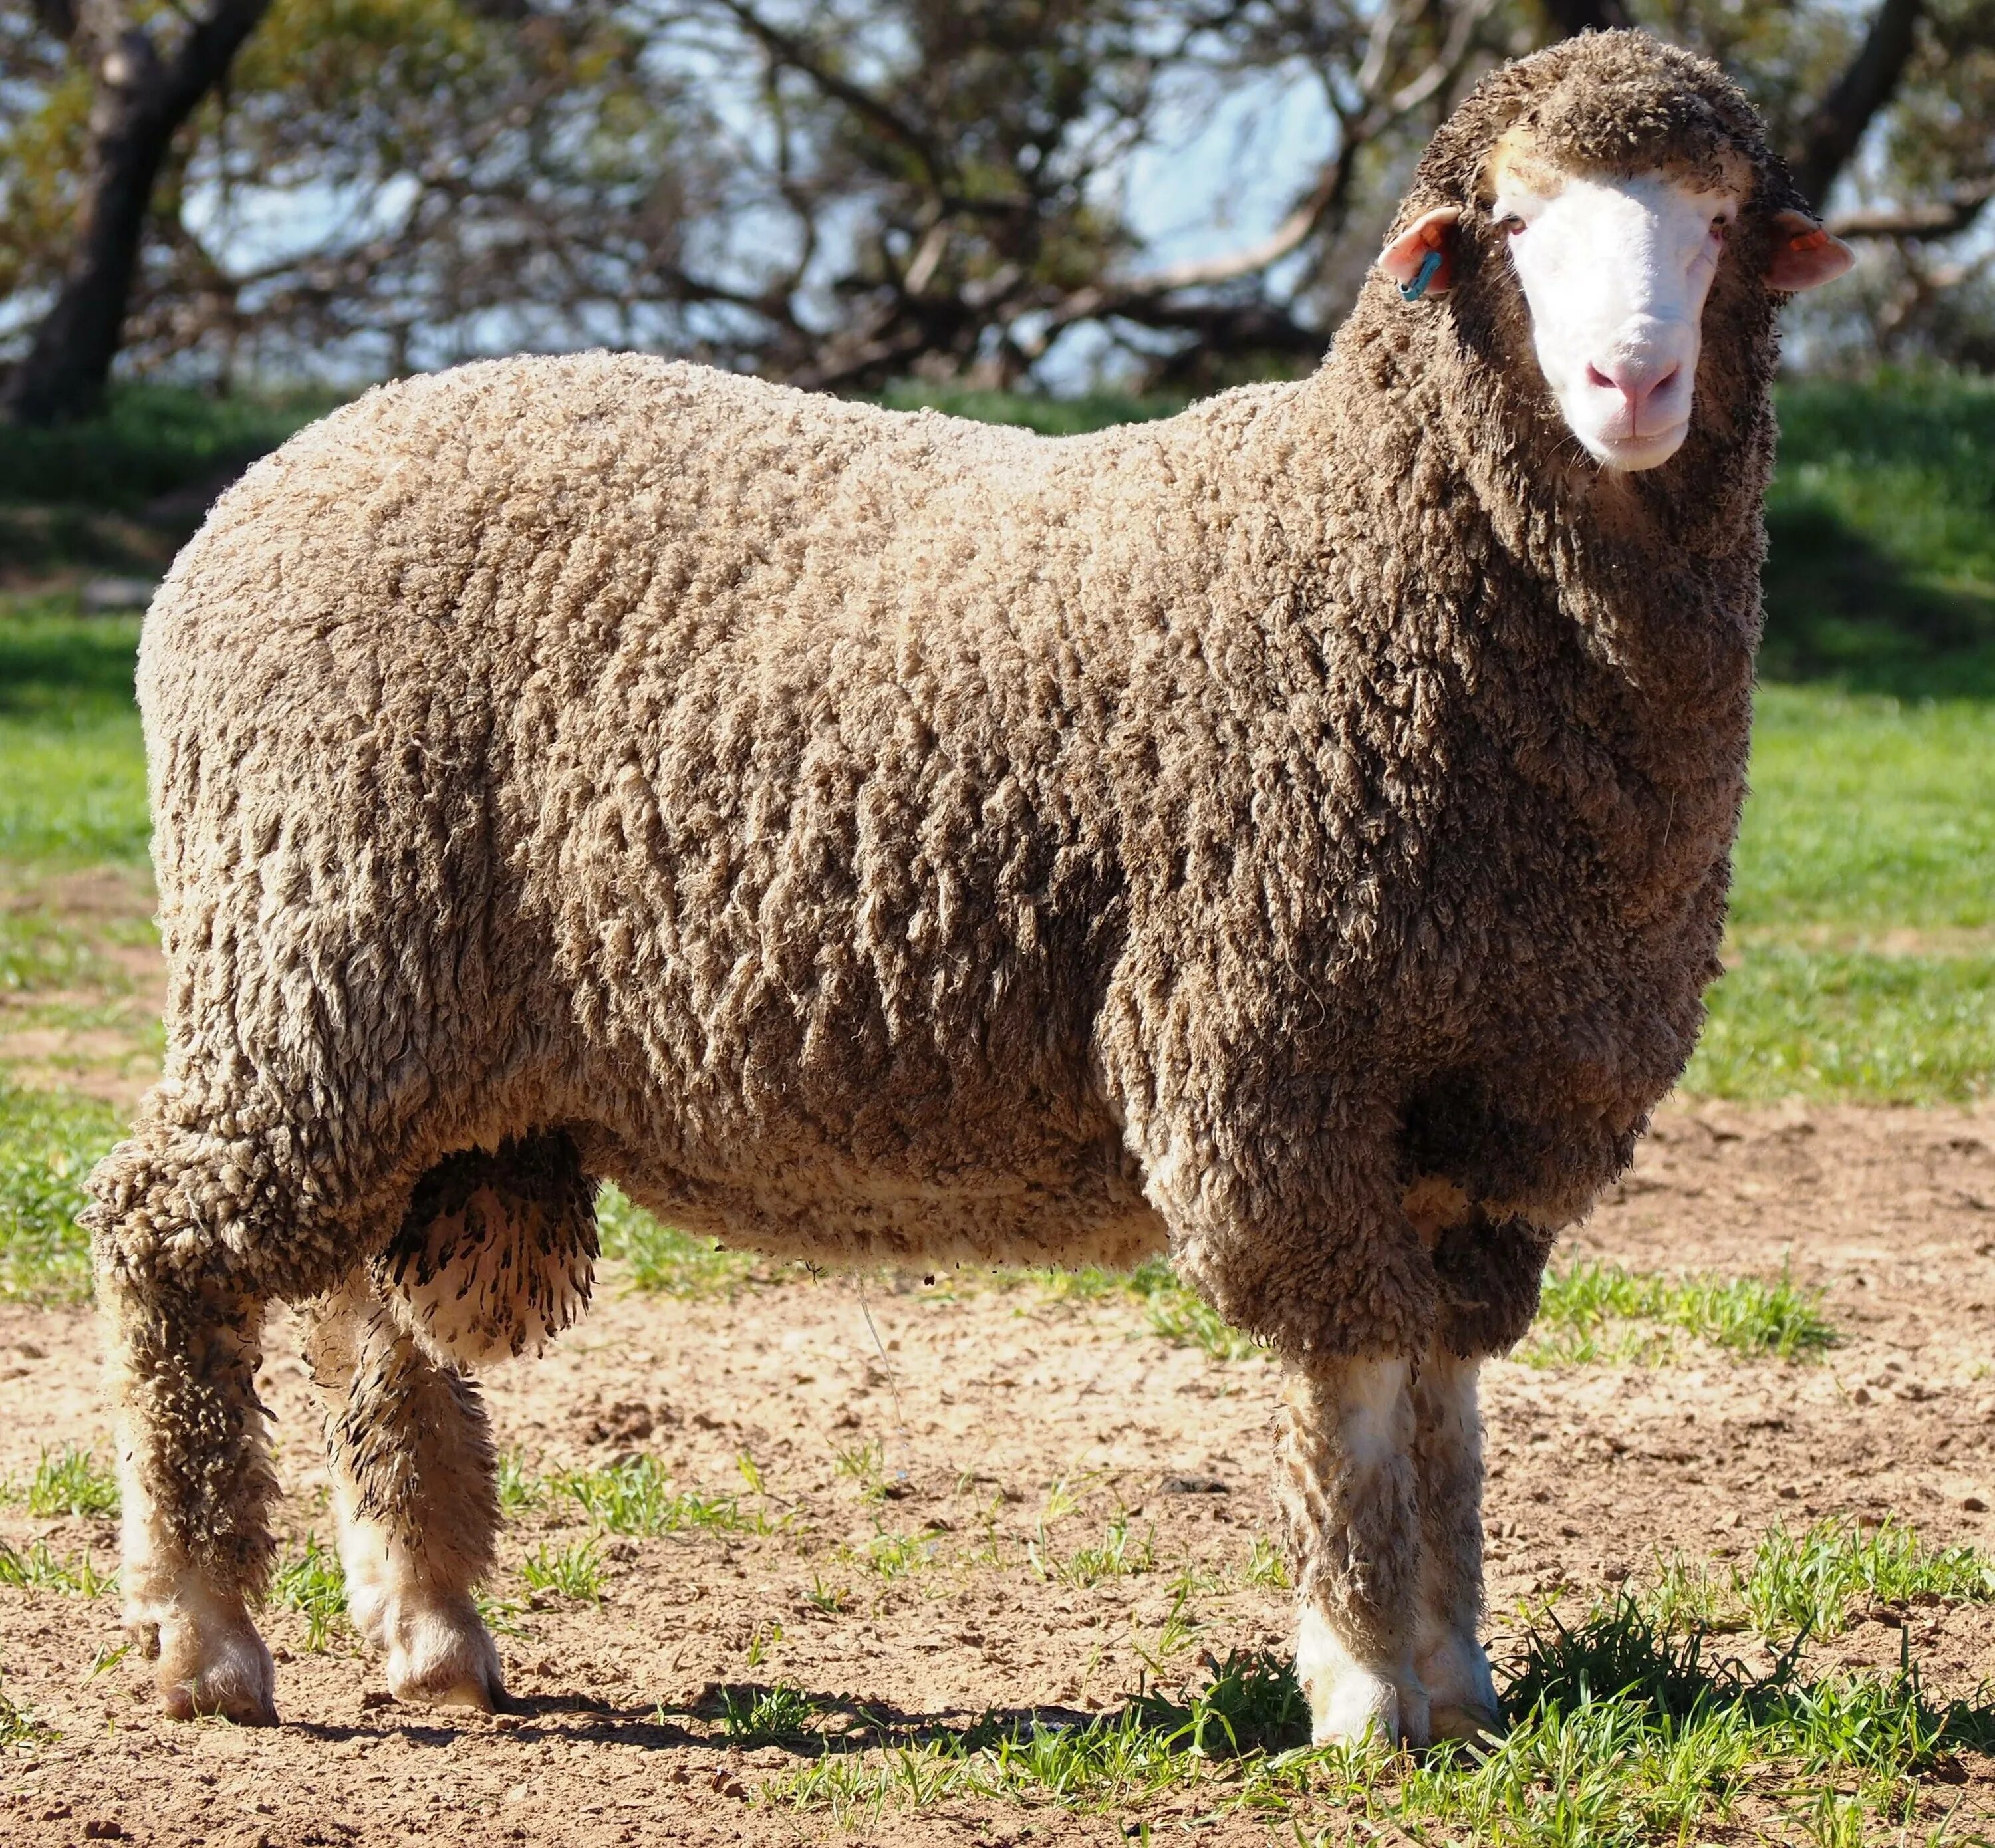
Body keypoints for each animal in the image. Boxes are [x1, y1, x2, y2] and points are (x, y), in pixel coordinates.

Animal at [87, 28, 1850, 1744]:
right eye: (1517, 222)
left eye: (1714, 221)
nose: (1632, 381)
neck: (1368, 539)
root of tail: (261, 487)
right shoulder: (1268, 1049)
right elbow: (1350, 1385)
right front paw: (1361, 1692)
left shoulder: (1499, 1105)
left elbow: (1442, 1407)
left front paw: (1458, 1684)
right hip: (311, 951)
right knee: (163, 1239)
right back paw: (204, 1637)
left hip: (406, 1041)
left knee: (361, 1308)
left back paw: (428, 1627)